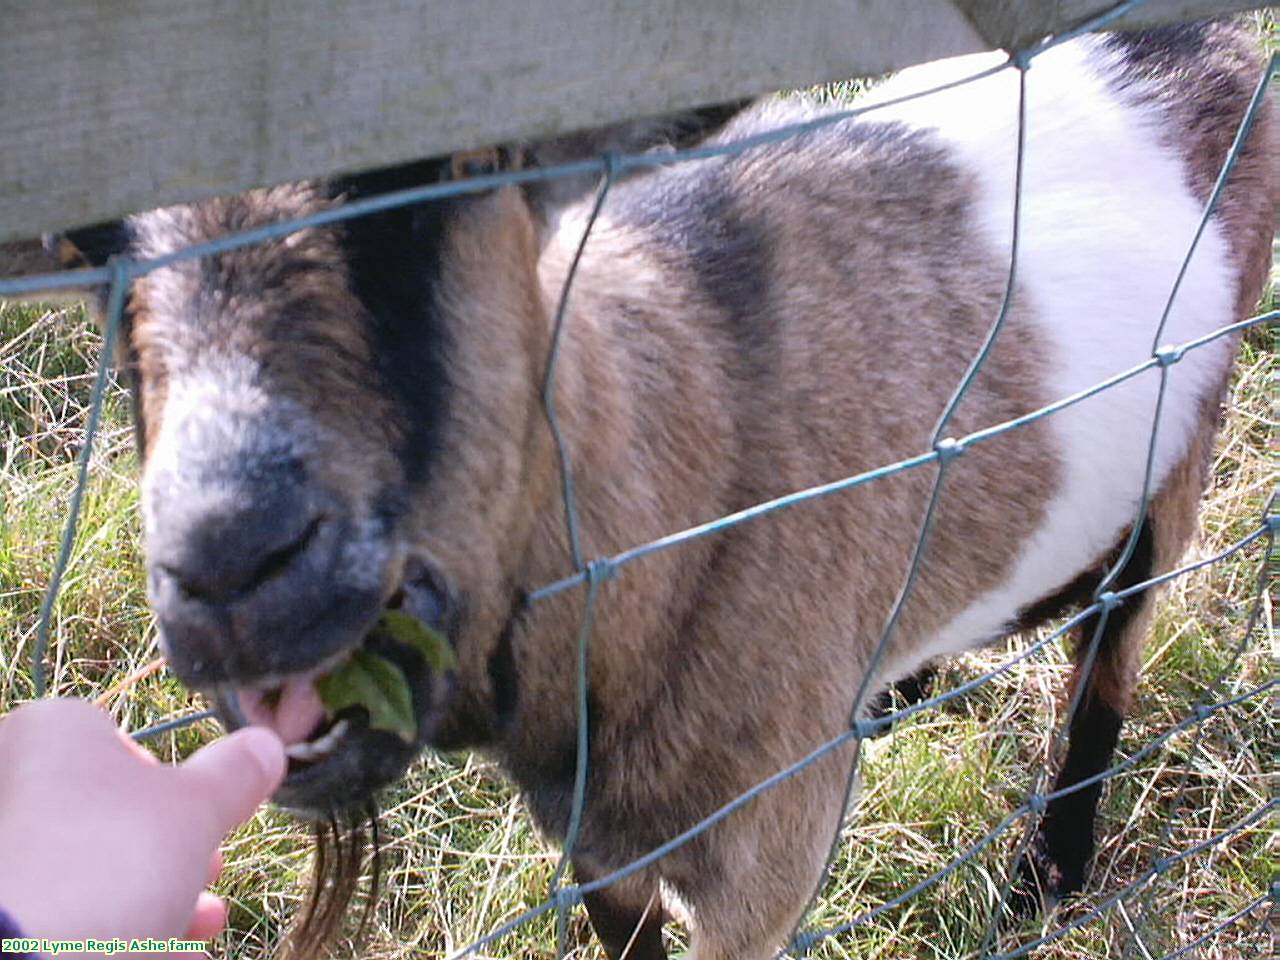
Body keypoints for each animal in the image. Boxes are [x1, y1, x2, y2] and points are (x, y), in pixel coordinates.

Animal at [45, 18, 1274, 960]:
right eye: (94, 250)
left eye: (445, 175)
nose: (230, 568)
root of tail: (1197, 34)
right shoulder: (594, 846)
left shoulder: (767, 857)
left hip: (1184, 440)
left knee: (1113, 640)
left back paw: (1052, 870)